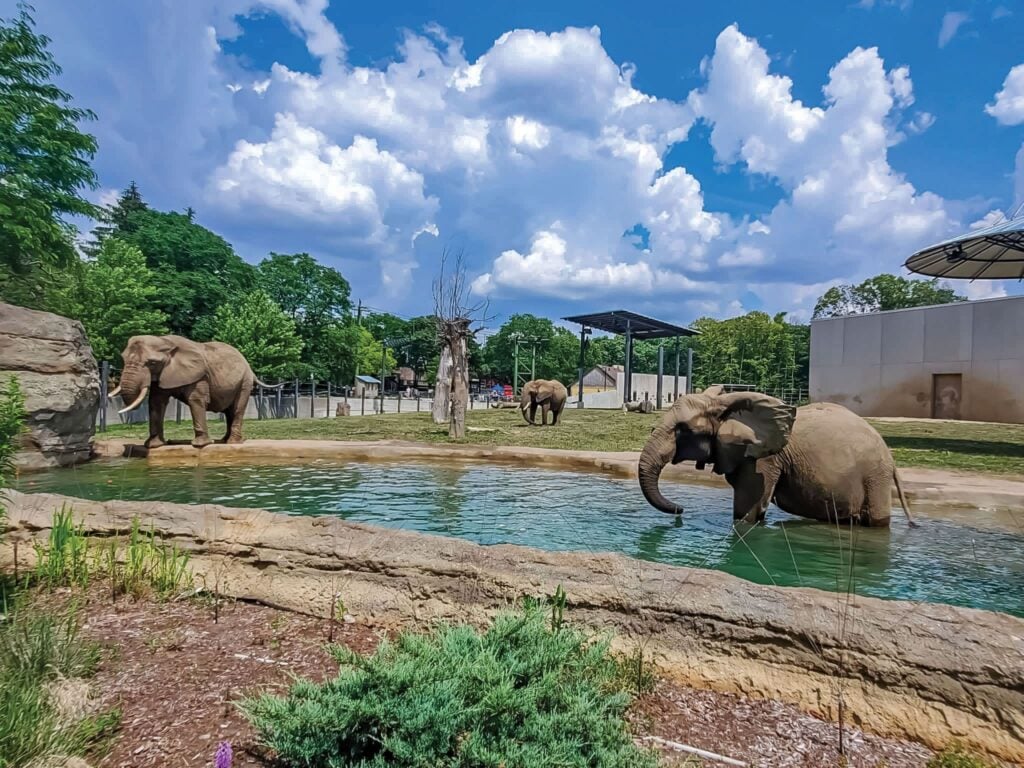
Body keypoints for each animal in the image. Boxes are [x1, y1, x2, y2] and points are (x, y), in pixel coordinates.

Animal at [111, 333, 274, 448]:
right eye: (123, 359)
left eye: (152, 363)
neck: (164, 341)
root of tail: (250, 368)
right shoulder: (164, 374)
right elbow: (156, 402)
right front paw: (153, 446)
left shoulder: (199, 375)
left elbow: (195, 400)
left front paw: (200, 445)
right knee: (229, 411)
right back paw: (224, 441)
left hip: (244, 382)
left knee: (237, 408)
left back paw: (232, 443)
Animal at [634, 385, 917, 528]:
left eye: (683, 430)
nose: (681, 509)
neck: (725, 405)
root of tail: (890, 457)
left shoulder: (764, 459)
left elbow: (748, 508)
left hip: (874, 477)